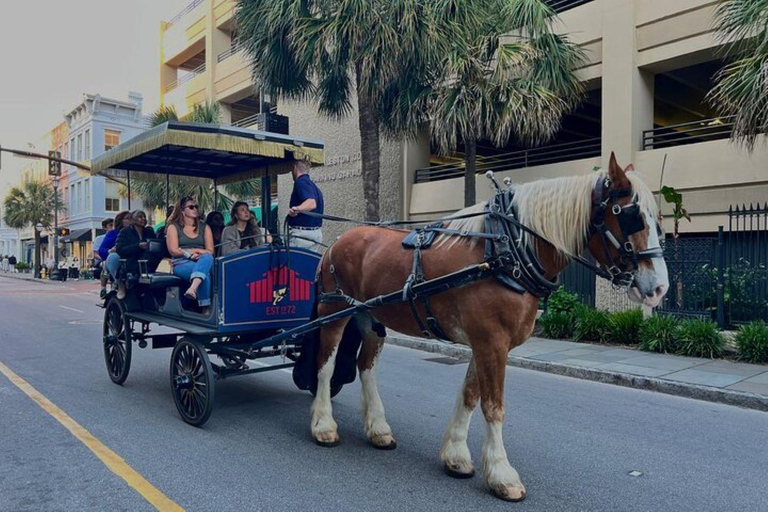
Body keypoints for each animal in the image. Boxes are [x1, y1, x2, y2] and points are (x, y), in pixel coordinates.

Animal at [308, 154, 668, 502]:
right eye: (631, 216)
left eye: (657, 220)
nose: (659, 288)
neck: (507, 252)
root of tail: (338, 242)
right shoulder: (491, 342)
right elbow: (493, 407)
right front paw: (501, 474)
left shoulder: (486, 342)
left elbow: (470, 395)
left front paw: (455, 455)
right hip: (334, 311)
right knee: (325, 365)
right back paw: (323, 424)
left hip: (371, 318)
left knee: (366, 367)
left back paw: (378, 429)